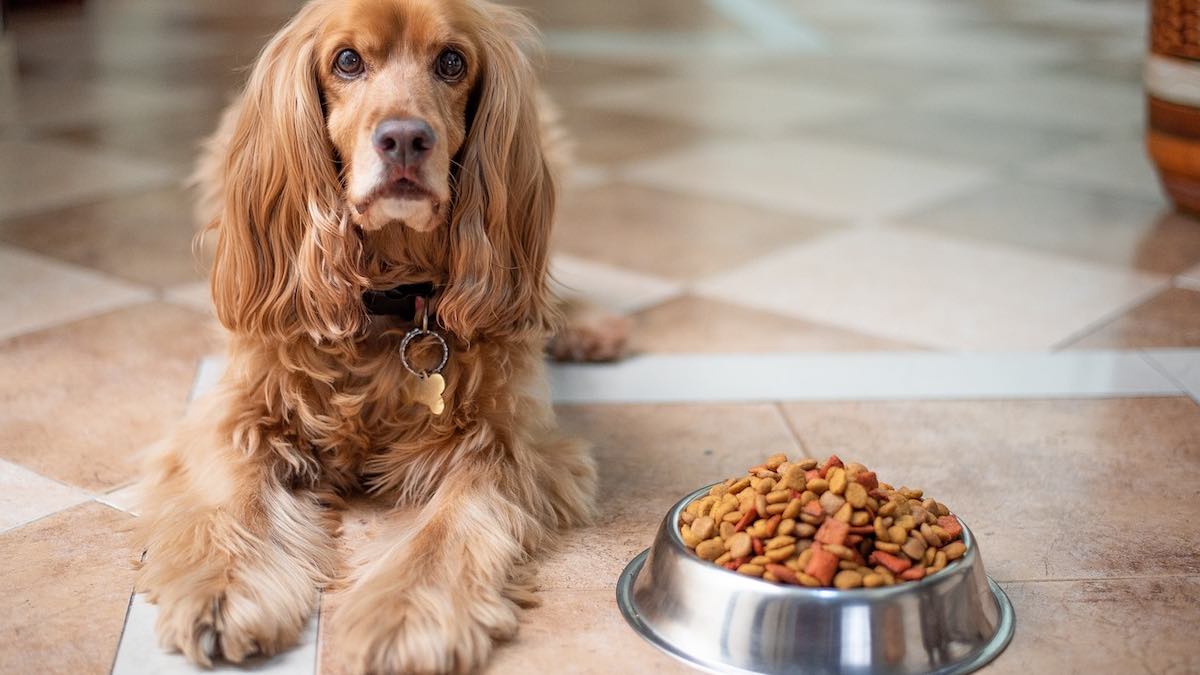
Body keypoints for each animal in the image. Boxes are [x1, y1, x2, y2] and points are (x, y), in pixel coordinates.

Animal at [133, 2, 609, 667]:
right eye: (347, 61)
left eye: (452, 62)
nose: (405, 139)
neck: (390, 300)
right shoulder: (237, 413)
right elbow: (237, 497)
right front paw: (223, 591)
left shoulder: (508, 442)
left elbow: (447, 529)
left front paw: (405, 616)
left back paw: (586, 327)